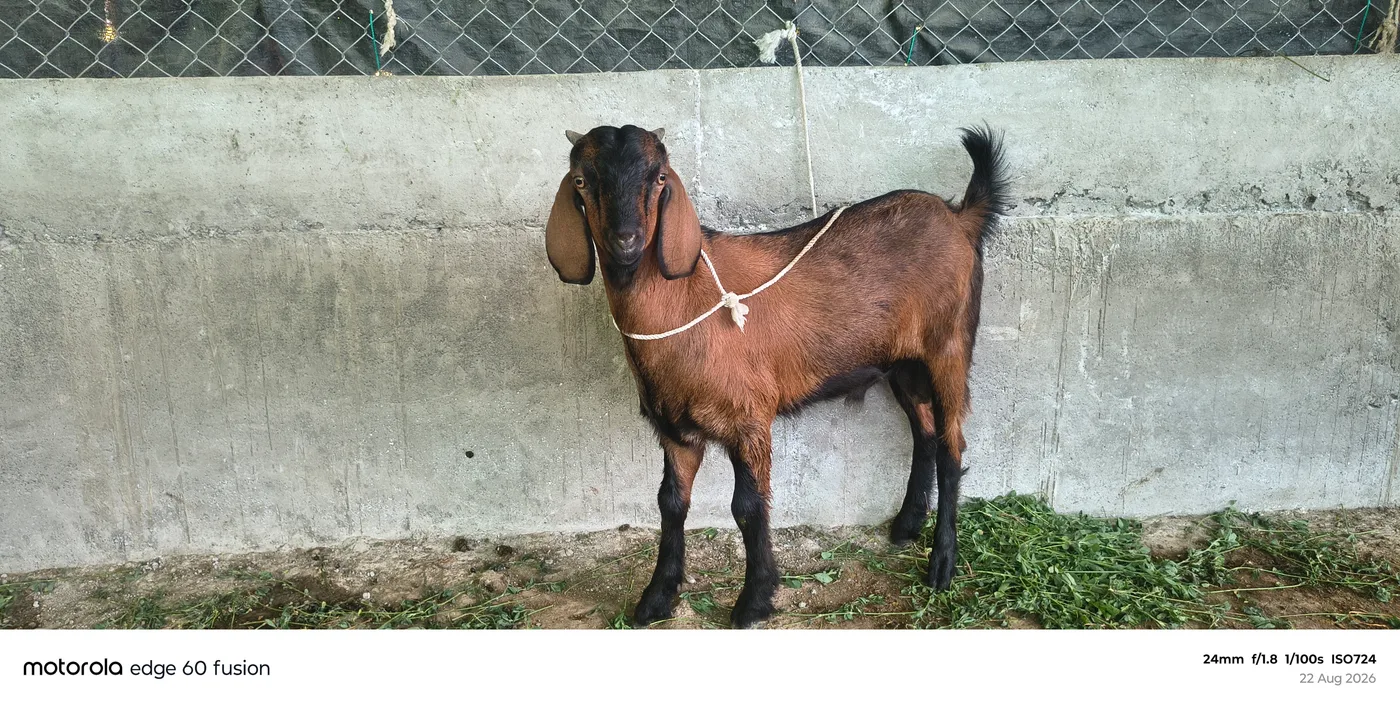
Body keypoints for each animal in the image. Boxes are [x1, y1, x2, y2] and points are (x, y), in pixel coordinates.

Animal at [544, 124, 1009, 628]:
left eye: (660, 177)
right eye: (581, 182)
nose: (626, 241)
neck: (683, 302)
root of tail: (958, 217)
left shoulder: (748, 418)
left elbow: (747, 508)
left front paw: (754, 601)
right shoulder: (675, 429)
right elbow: (670, 503)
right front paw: (656, 598)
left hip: (949, 347)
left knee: (950, 447)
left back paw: (942, 564)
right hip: (903, 363)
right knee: (923, 433)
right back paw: (906, 526)